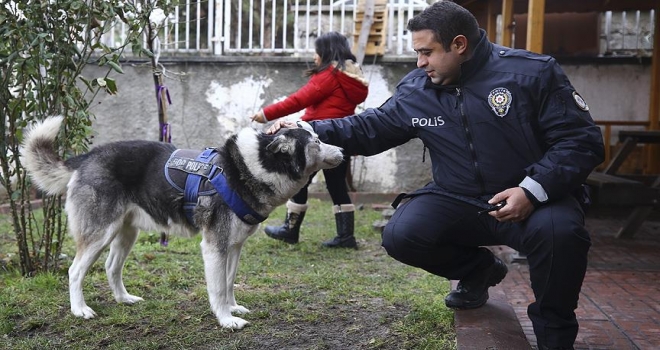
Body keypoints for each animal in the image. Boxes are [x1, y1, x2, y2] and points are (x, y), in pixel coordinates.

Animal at [20, 116, 342, 330]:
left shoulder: (233, 246)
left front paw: (233, 307)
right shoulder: (214, 246)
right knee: (75, 271)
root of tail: (86, 157)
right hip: (100, 233)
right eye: (316, 142)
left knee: (112, 267)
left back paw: (124, 299)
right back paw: (80, 309)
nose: (341, 151)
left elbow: (229, 282)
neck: (254, 166)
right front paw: (226, 319)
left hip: (126, 233)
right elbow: (217, 288)